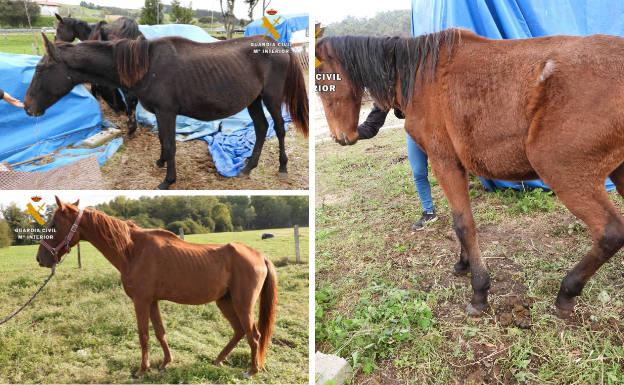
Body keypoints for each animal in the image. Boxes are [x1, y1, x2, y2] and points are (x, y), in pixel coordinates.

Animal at [25, 33, 308, 189]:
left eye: (40, 69)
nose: (27, 107)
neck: (147, 66)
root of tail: (277, 45)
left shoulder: (166, 112)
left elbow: (171, 144)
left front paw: (168, 180)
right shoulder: (161, 114)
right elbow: (162, 139)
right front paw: (160, 163)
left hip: (271, 98)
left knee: (279, 129)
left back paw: (282, 167)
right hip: (253, 100)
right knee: (261, 128)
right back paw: (249, 166)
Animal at [34, 196, 278, 376]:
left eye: (54, 224)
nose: (40, 258)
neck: (133, 251)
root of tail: (260, 256)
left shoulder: (141, 301)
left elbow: (144, 335)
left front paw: (143, 370)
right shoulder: (152, 302)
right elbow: (160, 332)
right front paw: (165, 363)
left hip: (242, 304)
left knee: (253, 335)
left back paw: (252, 370)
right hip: (224, 301)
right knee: (239, 331)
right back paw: (218, 360)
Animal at [316, 28, 624, 318]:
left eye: (322, 79)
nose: (342, 137)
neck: (420, 76)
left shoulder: (444, 163)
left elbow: (463, 224)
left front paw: (479, 291)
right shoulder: (456, 166)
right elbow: (462, 220)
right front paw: (463, 263)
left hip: (563, 172)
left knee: (611, 233)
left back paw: (567, 291)